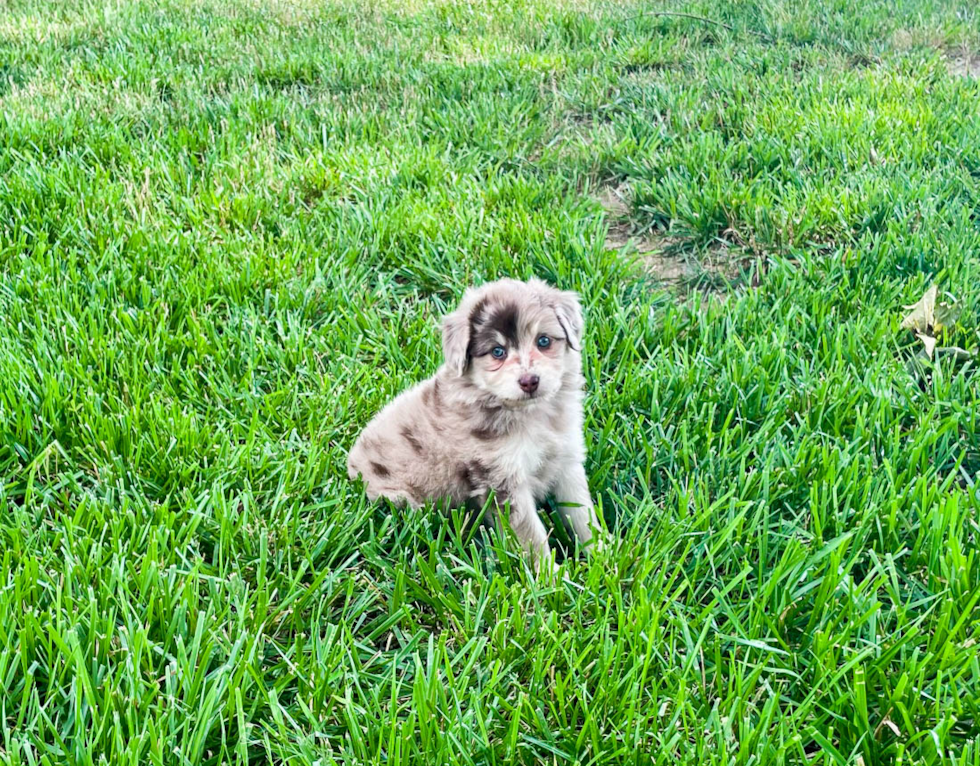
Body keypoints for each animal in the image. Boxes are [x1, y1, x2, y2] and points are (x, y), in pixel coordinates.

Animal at [348, 280, 600, 568]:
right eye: (497, 352)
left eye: (543, 340)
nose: (529, 381)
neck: (532, 415)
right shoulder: (502, 482)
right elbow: (532, 535)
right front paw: (551, 573)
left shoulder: (567, 460)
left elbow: (583, 514)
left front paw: (605, 552)